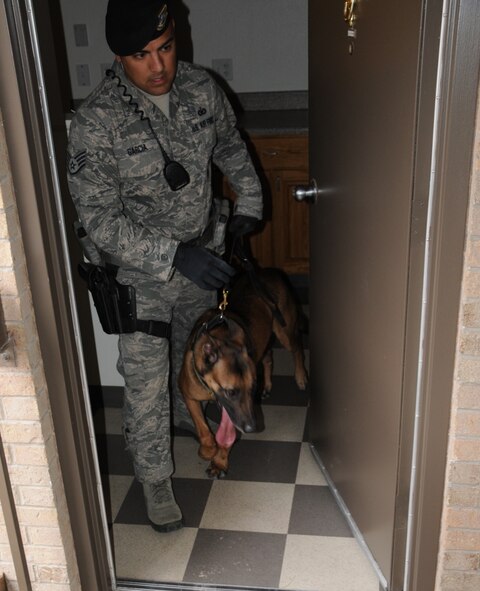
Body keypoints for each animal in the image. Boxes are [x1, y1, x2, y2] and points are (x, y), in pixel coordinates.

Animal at [177, 270, 308, 478]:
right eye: (230, 392)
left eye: (252, 388)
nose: (253, 428)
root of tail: (266, 271)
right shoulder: (188, 394)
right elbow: (202, 427)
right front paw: (208, 449)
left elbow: (227, 436)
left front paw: (220, 461)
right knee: (268, 356)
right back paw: (268, 384)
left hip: (284, 330)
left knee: (297, 348)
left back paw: (301, 376)